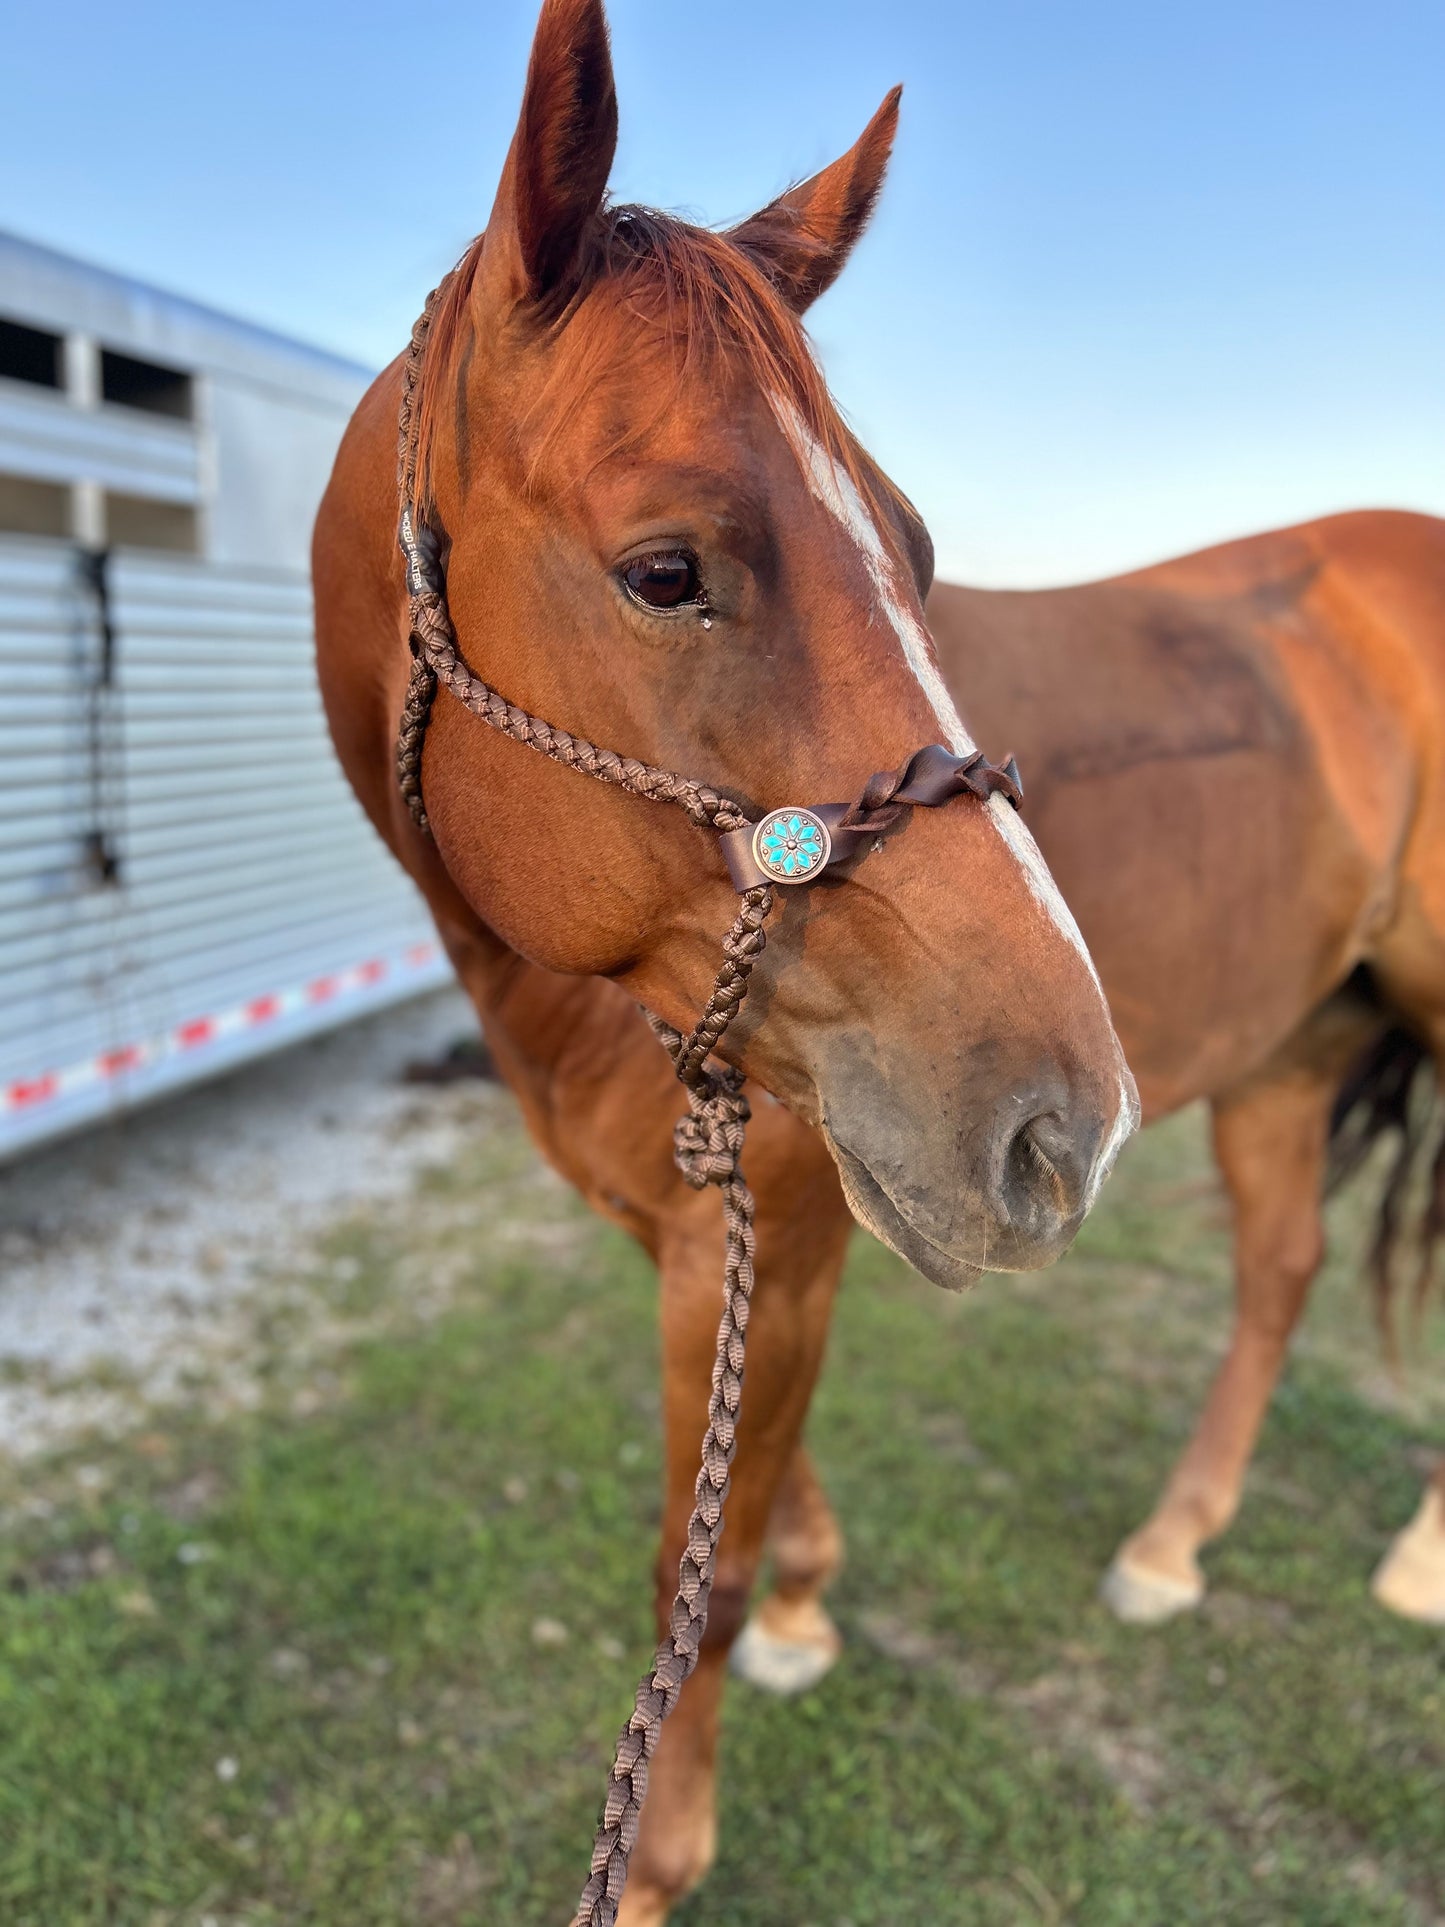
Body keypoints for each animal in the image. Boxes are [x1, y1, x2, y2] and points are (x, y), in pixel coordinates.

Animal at [312, 7, 1140, 1919]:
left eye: (918, 553)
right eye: (667, 570)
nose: (1069, 1124)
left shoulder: (784, 1237)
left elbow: (705, 1554)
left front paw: (662, 1837)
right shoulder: (710, 1236)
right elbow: (737, 1499)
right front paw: (804, 1589)